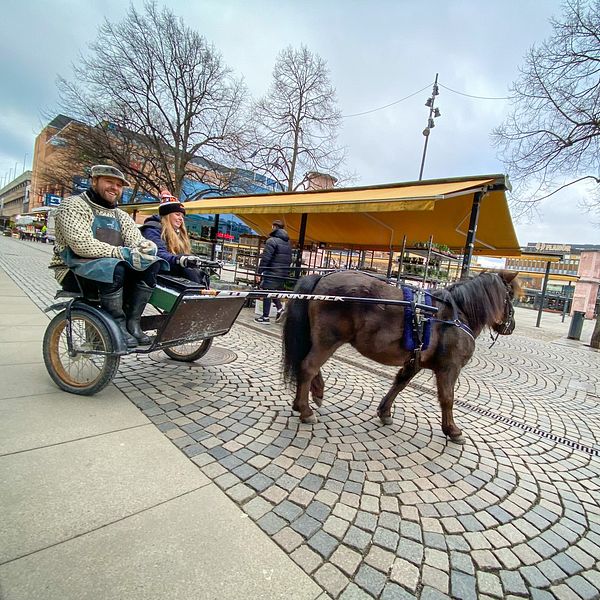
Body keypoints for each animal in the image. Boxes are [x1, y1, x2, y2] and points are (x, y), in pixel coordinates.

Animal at [282, 270, 520, 442]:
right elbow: (447, 398)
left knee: (309, 366)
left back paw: (315, 393)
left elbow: (400, 383)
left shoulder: (415, 361)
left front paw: (385, 411)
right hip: (328, 341)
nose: (511, 326)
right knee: (308, 366)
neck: (455, 315)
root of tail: (322, 278)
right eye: (510, 296)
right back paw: (305, 410)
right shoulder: (449, 368)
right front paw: (452, 430)